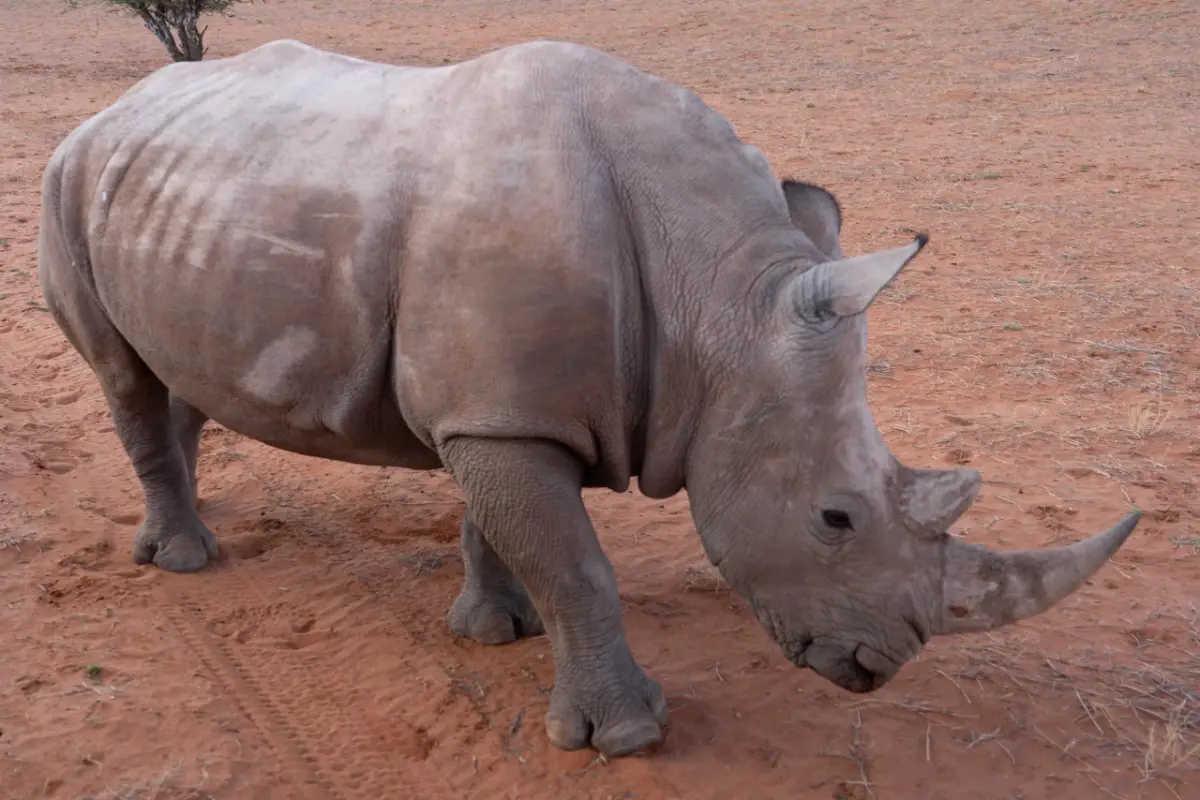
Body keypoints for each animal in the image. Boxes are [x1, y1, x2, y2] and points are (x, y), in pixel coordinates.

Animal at [37, 38, 1140, 758]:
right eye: (835, 519)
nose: (882, 662)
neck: (720, 299)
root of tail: (116, 106)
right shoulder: (500, 415)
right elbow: (577, 565)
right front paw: (629, 735)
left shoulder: (496, 408)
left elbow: (501, 529)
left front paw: (495, 631)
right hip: (65, 176)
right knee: (124, 375)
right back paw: (186, 562)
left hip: (174, 187)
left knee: (169, 370)